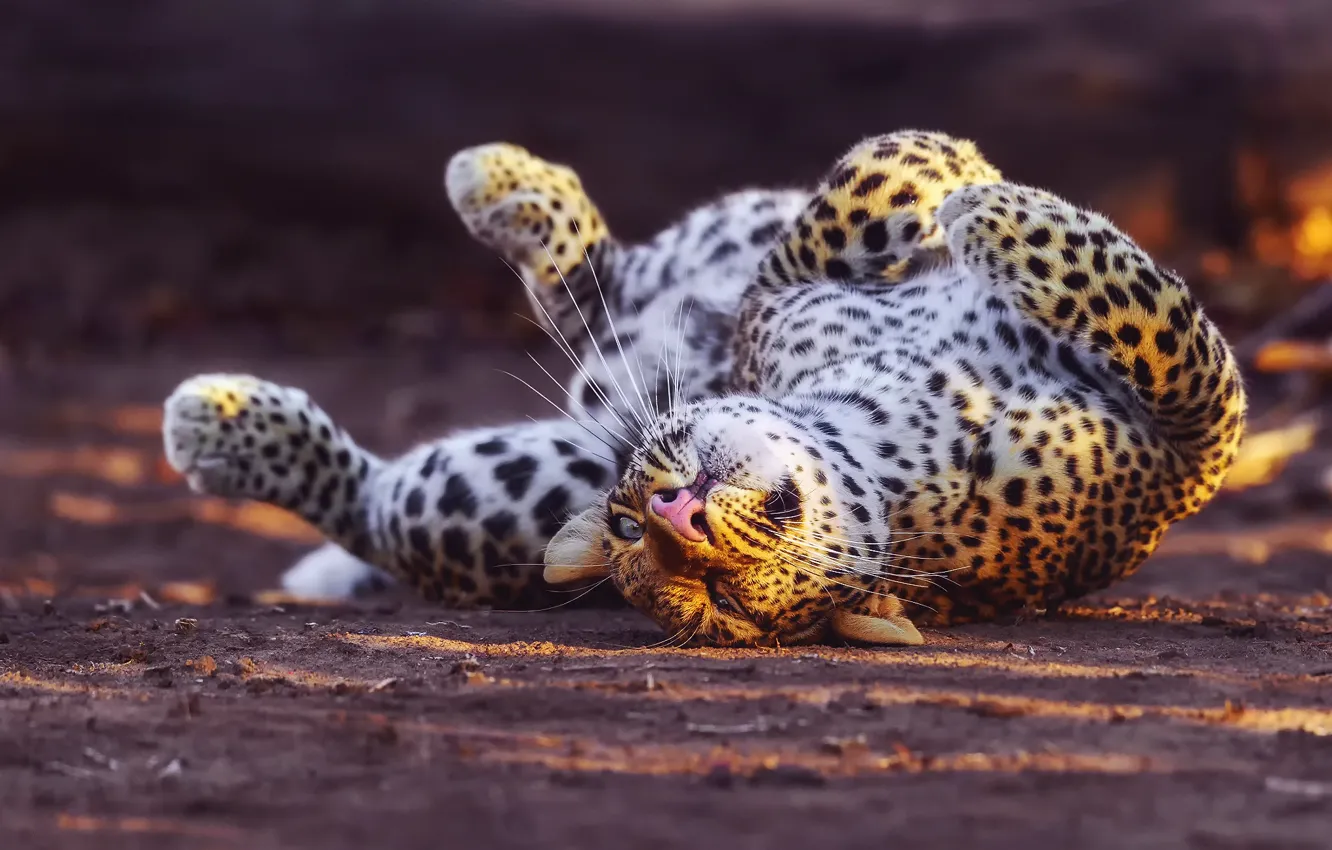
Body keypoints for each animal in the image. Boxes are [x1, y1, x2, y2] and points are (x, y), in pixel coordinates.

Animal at [162, 130, 1246, 647]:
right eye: (634, 531)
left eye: (713, 589)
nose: (676, 514)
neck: (888, 445)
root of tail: (600, 399)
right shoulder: (777, 303)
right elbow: (862, 188)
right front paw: (970, 189)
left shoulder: (1183, 464)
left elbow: (1175, 345)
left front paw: (977, 197)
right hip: (521, 466)